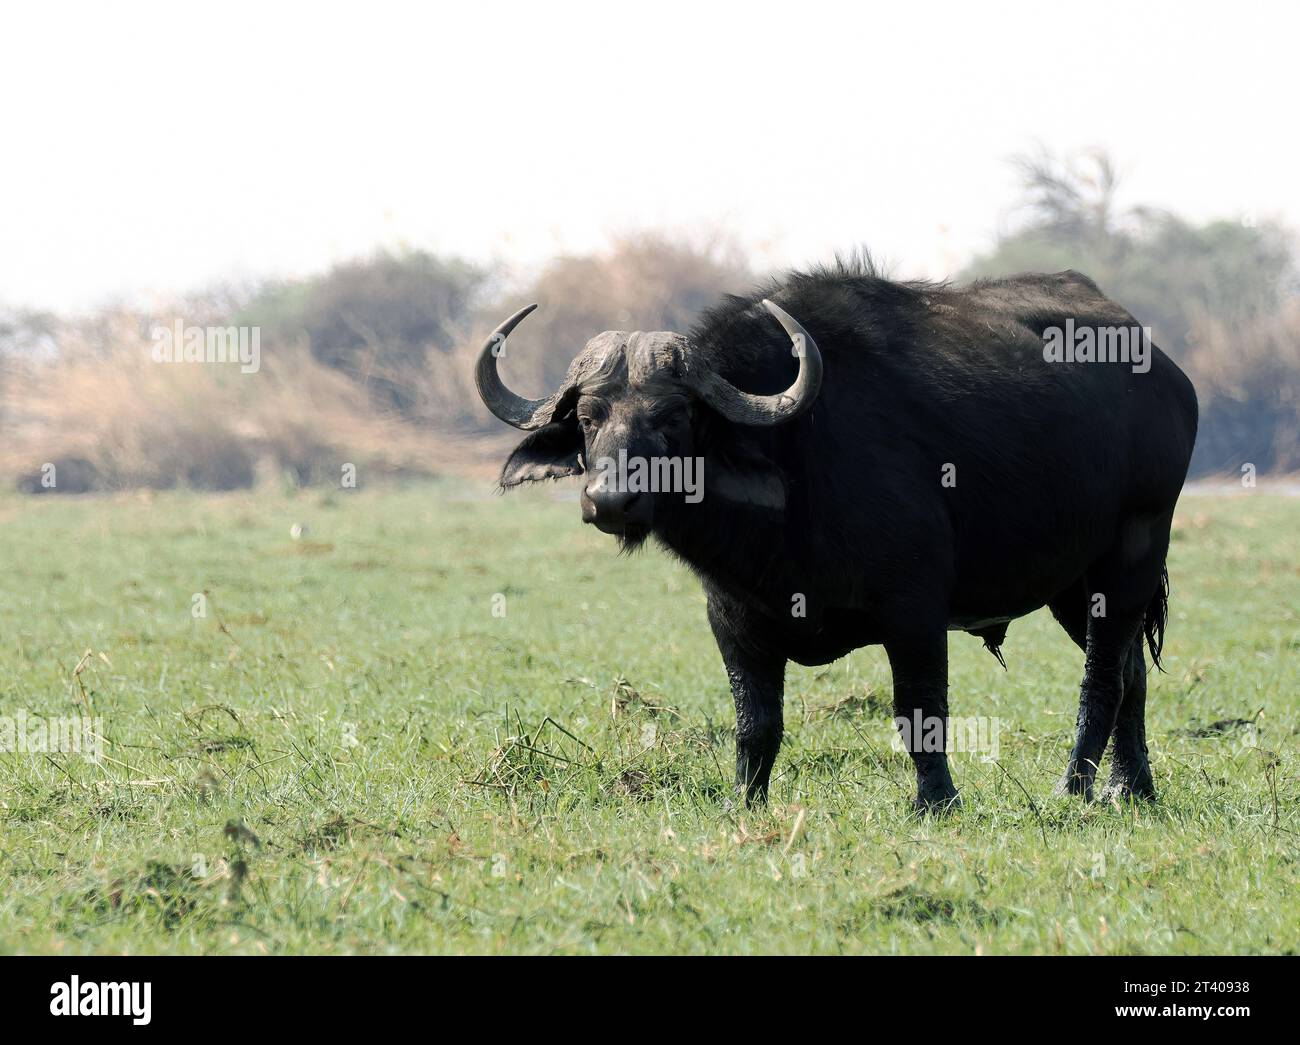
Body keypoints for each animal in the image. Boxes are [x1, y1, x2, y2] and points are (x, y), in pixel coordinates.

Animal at [475, 257, 1196, 811]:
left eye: (673, 415)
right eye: (590, 418)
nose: (609, 499)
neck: (794, 463)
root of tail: (1167, 374)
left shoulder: (914, 609)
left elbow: (919, 711)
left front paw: (937, 802)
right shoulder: (733, 618)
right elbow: (756, 723)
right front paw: (745, 803)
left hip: (1133, 551)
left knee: (1104, 677)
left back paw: (1075, 787)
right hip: (1073, 583)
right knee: (1131, 671)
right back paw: (1132, 788)